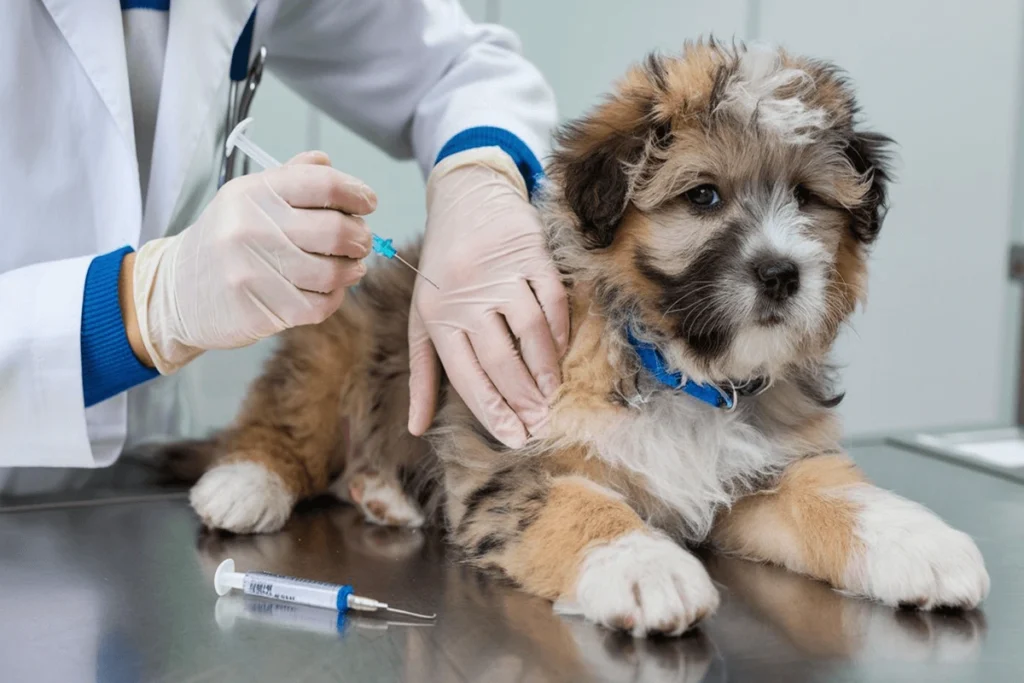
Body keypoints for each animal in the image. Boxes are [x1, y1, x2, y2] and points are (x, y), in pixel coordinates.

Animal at [180, 41, 987, 643]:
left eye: (809, 199)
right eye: (704, 196)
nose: (782, 274)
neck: (675, 367)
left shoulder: (761, 470)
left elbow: (835, 494)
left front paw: (919, 544)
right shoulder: (509, 460)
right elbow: (580, 505)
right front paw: (644, 567)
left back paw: (383, 494)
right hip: (336, 350)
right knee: (287, 418)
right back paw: (246, 482)